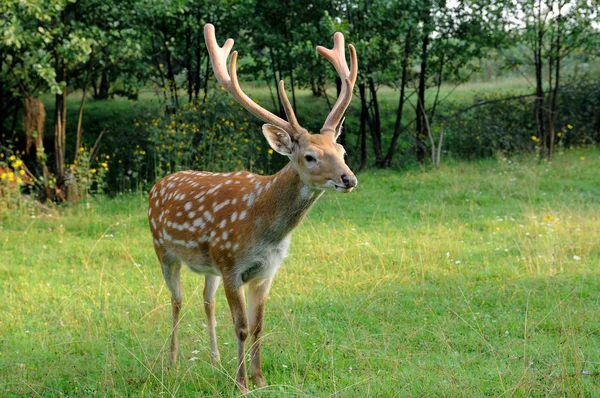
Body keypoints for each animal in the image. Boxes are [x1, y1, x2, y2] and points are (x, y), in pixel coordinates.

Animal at [148, 24, 358, 392]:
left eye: (342, 150)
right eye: (310, 157)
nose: (348, 178)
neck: (264, 228)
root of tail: (158, 184)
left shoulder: (266, 271)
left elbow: (259, 325)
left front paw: (259, 377)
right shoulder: (232, 265)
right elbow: (242, 326)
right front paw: (242, 383)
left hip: (209, 265)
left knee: (206, 300)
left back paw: (215, 360)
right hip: (164, 249)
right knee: (176, 300)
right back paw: (171, 362)